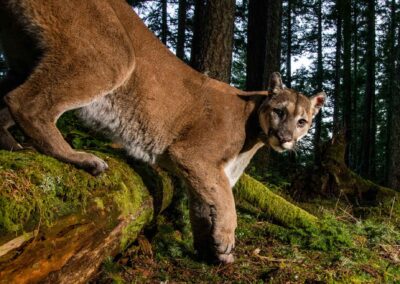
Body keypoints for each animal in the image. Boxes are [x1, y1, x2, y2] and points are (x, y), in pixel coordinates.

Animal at [0, 0, 324, 264]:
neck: (255, 133)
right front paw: (226, 240)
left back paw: (12, 145)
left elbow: (204, 206)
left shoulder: (203, 170)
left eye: (303, 121)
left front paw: (210, 250)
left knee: (6, 98)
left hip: (25, 57)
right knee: (25, 103)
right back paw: (79, 157)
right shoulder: (194, 155)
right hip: (113, 54)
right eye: (280, 112)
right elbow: (225, 201)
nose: (286, 138)